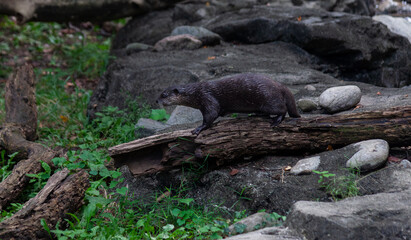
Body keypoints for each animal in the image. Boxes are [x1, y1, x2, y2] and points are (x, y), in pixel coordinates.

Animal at [156, 73, 300, 135]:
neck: (195, 93)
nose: (156, 101)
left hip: (268, 99)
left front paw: (199, 128)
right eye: (160, 93)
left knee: (282, 109)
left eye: (164, 95)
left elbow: (211, 114)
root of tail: (280, 85)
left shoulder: (207, 98)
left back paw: (276, 121)